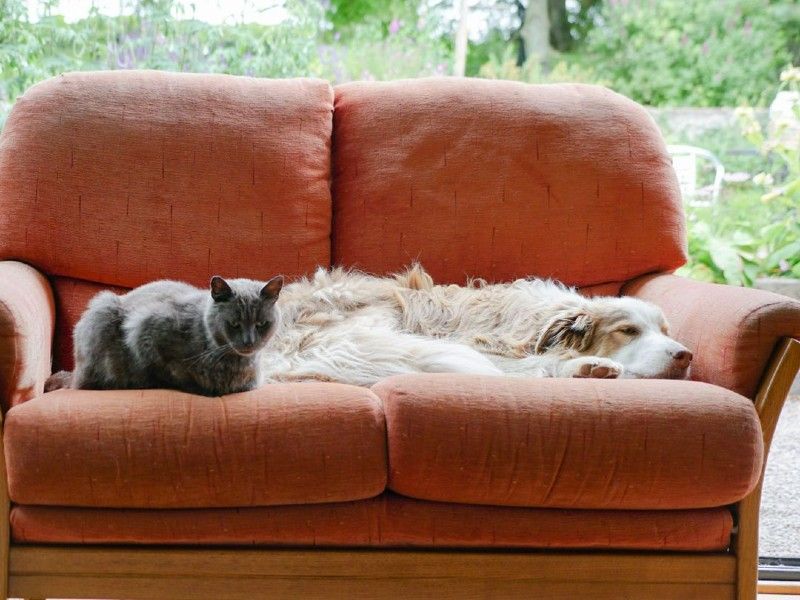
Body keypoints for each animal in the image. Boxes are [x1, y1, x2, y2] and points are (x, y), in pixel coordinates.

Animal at [45, 276, 282, 398]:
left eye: (261, 324)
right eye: (234, 324)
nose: (249, 341)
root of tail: (75, 372)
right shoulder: (144, 333)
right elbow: (171, 373)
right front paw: (202, 389)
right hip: (103, 310)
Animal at [260, 264, 692, 386]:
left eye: (666, 332)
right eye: (628, 332)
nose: (686, 356)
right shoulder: (483, 346)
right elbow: (534, 365)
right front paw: (585, 365)